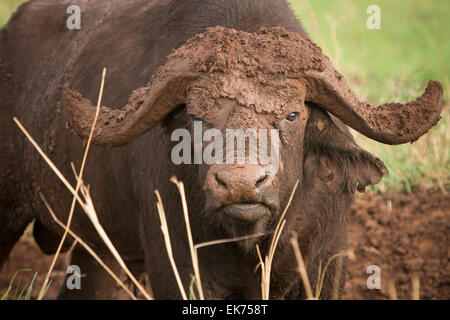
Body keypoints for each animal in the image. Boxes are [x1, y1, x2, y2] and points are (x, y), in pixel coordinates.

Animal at [0, 0, 442, 300]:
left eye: (292, 114)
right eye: (197, 116)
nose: (241, 184)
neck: (254, 242)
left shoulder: (325, 264)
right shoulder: (178, 269)